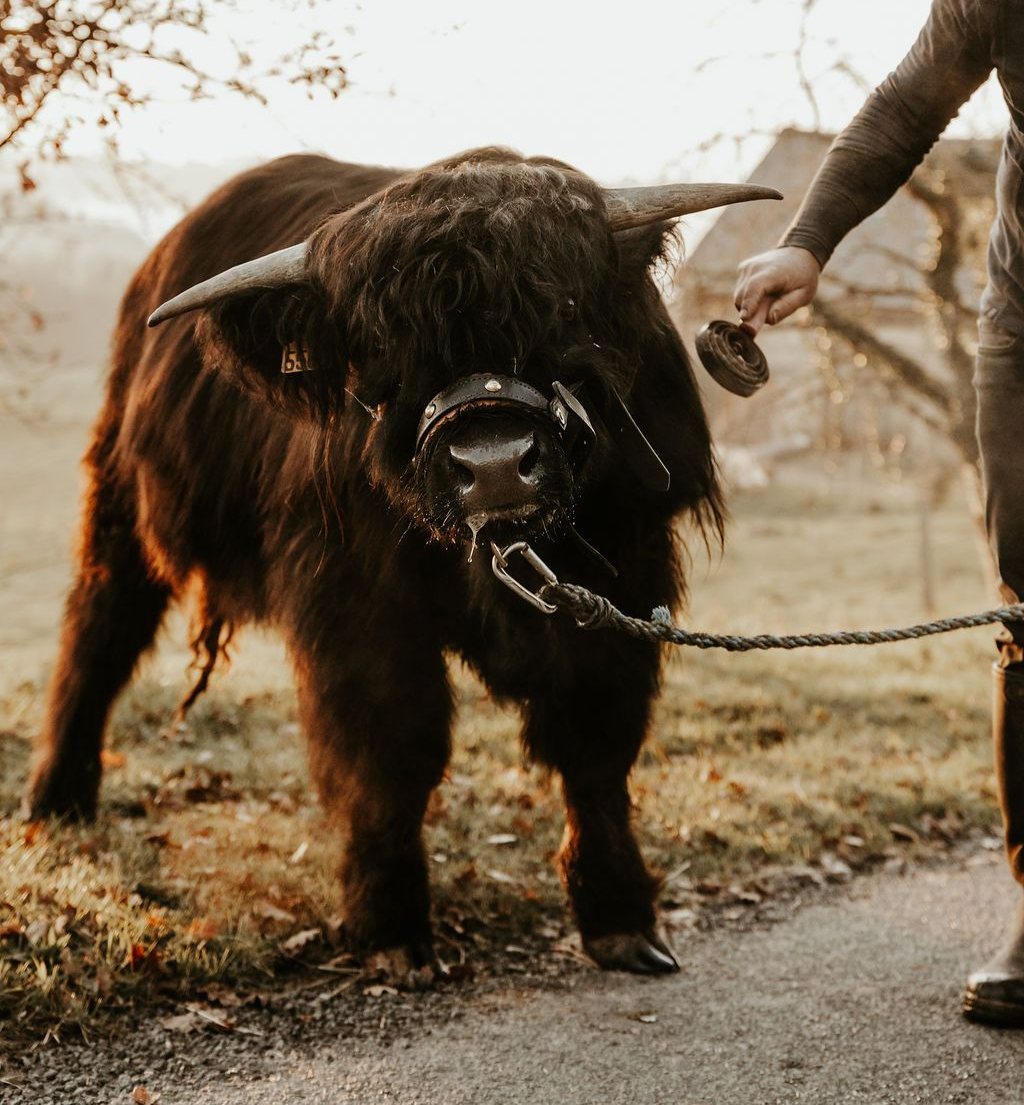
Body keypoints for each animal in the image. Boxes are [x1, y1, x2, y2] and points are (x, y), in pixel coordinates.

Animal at [23, 149, 779, 983]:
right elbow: (388, 752)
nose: (494, 466)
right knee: (99, 631)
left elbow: (595, 749)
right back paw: (56, 799)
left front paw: (620, 918)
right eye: (385, 346)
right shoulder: (361, 611)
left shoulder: (620, 583)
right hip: (120, 501)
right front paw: (390, 925)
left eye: (562, 308)